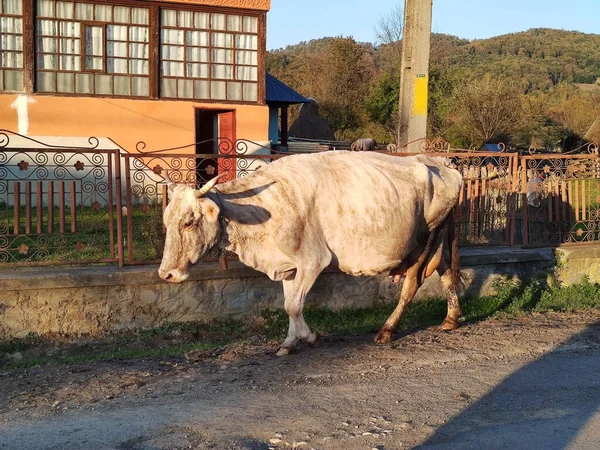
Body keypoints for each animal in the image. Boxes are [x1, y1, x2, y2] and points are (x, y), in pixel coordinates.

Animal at [159, 151, 464, 356]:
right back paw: (451, 319)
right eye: (166, 221)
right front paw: (288, 343)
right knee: (447, 273)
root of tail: (440, 162)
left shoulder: (313, 260)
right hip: (439, 242)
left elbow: (294, 306)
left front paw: (310, 336)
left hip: (423, 243)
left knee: (412, 284)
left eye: (188, 222)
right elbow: (289, 304)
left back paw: (387, 329)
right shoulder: (288, 267)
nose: (166, 273)